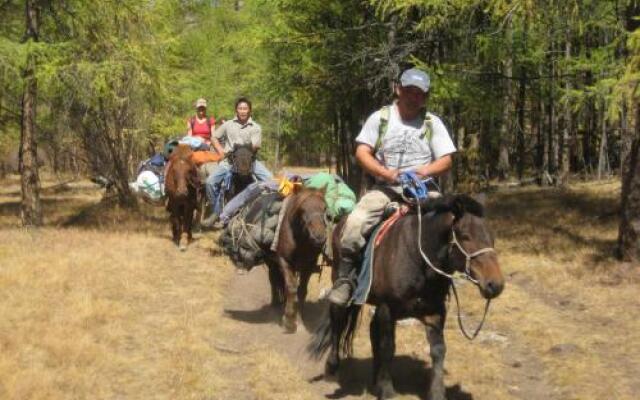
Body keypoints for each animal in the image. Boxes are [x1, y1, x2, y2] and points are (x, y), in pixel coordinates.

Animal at [264, 189, 328, 332]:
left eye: (325, 208)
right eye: (302, 210)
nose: (319, 237)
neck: (301, 241)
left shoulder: (308, 266)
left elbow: (302, 290)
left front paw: (299, 321)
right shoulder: (284, 261)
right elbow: (291, 287)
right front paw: (288, 320)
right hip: (272, 263)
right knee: (273, 280)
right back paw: (274, 306)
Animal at [308, 195, 504, 400]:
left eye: (492, 236)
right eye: (465, 236)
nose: (495, 284)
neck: (418, 258)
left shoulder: (435, 312)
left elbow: (438, 350)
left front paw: (436, 392)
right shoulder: (387, 308)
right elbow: (388, 347)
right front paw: (387, 390)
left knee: (372, 331)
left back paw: (375, 379)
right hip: (341, 283)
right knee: (337, 320)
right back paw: (332, 367)